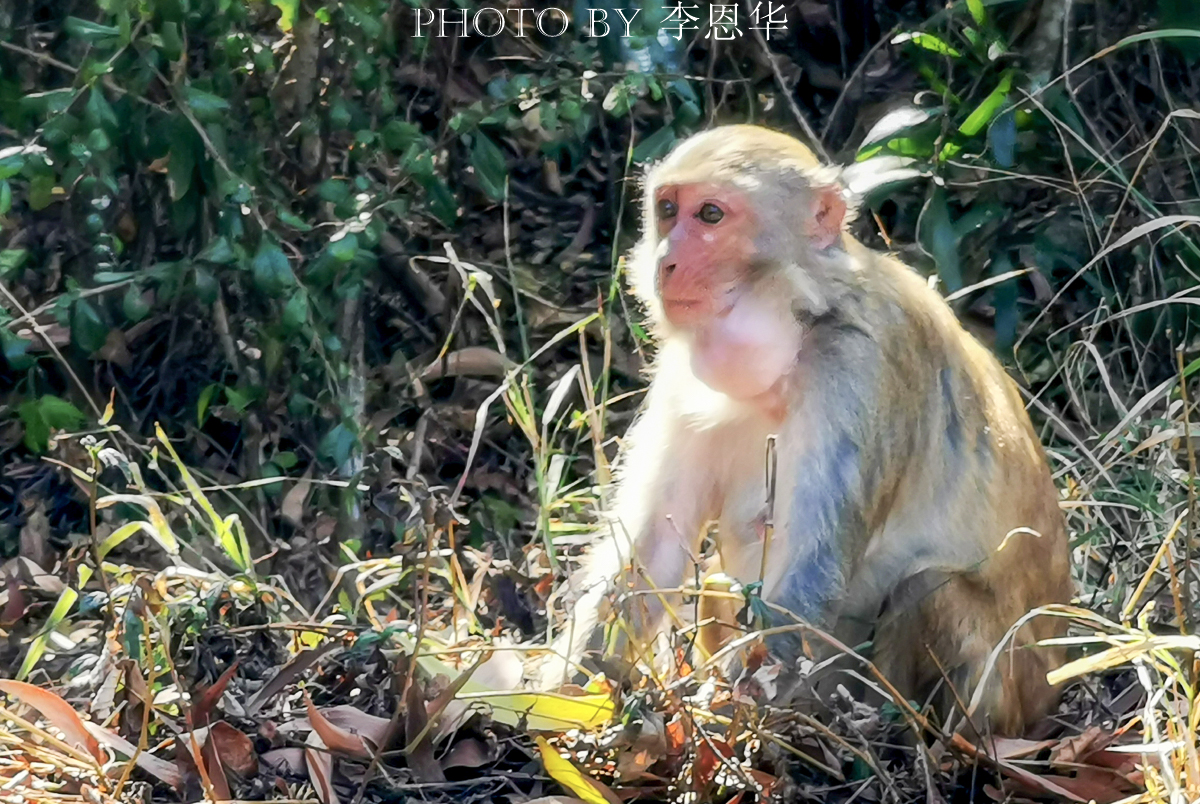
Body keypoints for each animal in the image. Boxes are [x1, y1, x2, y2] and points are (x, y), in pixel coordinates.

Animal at [530, 124, 1075, 739]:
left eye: (711, 215)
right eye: (668, 210)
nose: (665, 263)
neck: (798, 325)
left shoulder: (857, 369)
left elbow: (809, 575)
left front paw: (726, 720)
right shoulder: (682, 380)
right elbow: (650, 554)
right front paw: (561, 696)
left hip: (1003, 698)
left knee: (928, 589)